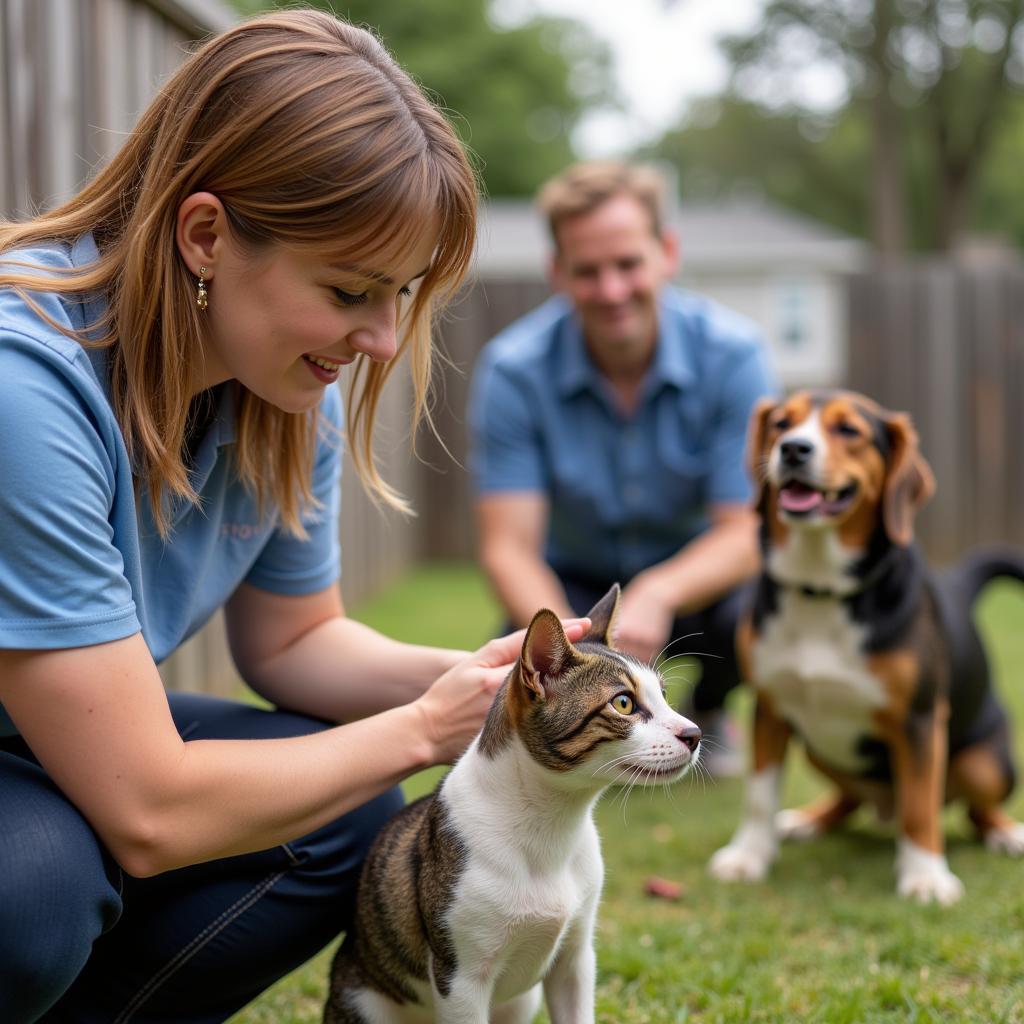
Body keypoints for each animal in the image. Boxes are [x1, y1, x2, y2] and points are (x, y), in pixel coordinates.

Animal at [323, 585, 700, 1024]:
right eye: (623, 703)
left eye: (664, 696)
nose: (694, 733)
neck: (551, 821)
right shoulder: (461, 979)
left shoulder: (575, 960)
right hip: (364, 1001)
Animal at [708, 389, 1024, 905]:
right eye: (781, 423)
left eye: (848, 430)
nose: (793, 449)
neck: (820, 588)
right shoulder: (770, 709)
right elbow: (759, 793)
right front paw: (749, 856)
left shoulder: (919, 722)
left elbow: (921, 806)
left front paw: (925, 875)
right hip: (818, 746)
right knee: (850, 797)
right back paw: (810, 820)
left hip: (986, 763)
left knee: (970, 808)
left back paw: (1004, 832)